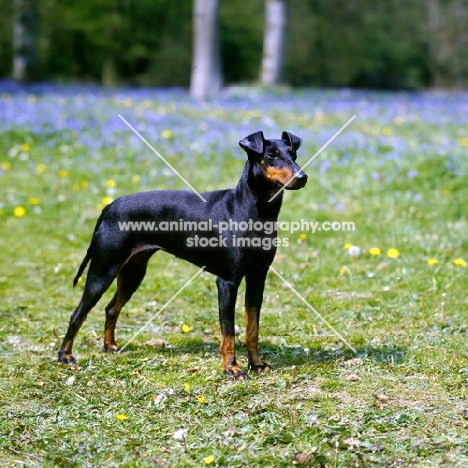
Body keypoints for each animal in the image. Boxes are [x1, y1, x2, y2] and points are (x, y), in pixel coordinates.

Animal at [58, 130, 308, 378]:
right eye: (272, 155)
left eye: (293, 153)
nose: (302, 177)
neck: (255, 210)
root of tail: (109, 207)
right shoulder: (227, 282)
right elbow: (228, 332)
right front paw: (232, 368)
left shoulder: (257, 278)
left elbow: (252, 329)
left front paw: (255, 364)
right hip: (103, 271)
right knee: (77, 313)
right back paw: (65, 356)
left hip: (132, 272)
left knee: (111, 308)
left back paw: (110, 346)